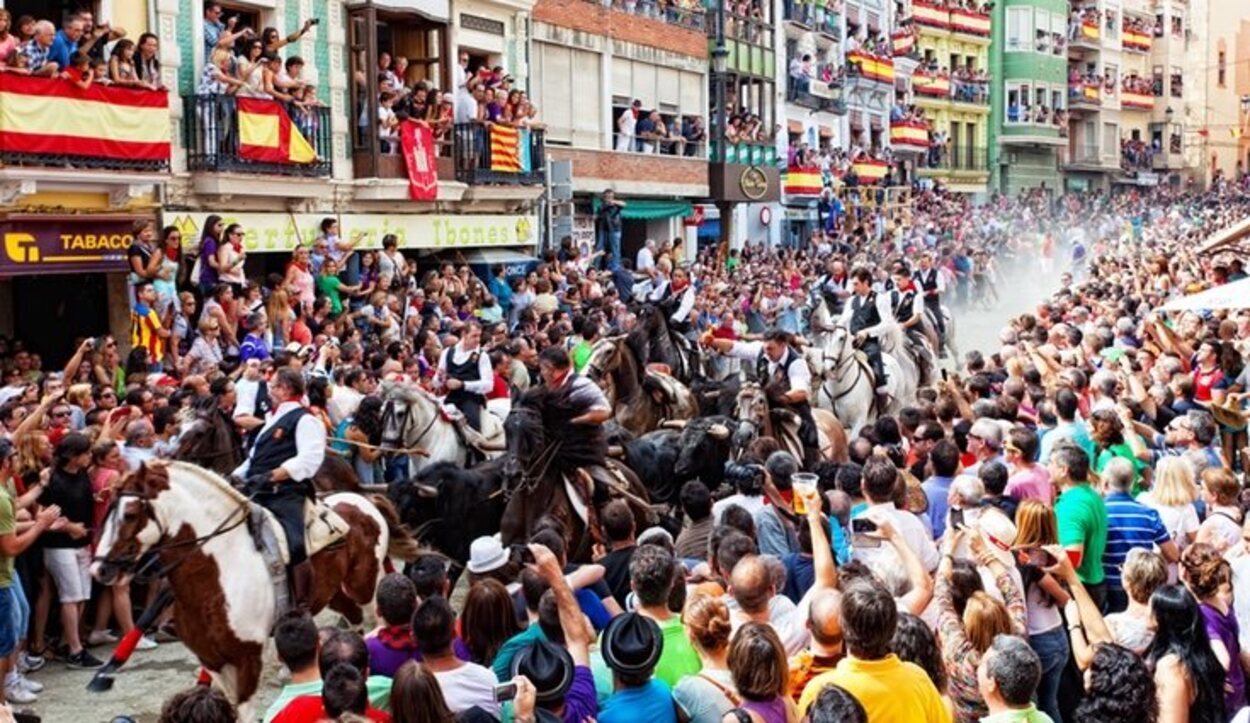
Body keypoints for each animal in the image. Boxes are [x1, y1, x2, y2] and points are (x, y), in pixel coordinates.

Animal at [92, 457, 422, 715]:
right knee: (353, 618)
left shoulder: (247, 658)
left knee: (371, 617)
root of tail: (363, 500)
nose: (100, 568)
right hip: (332, 592)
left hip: (362, 582)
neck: (217, 573)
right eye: (106, 511)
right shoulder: (212, 659)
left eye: (130, 514)